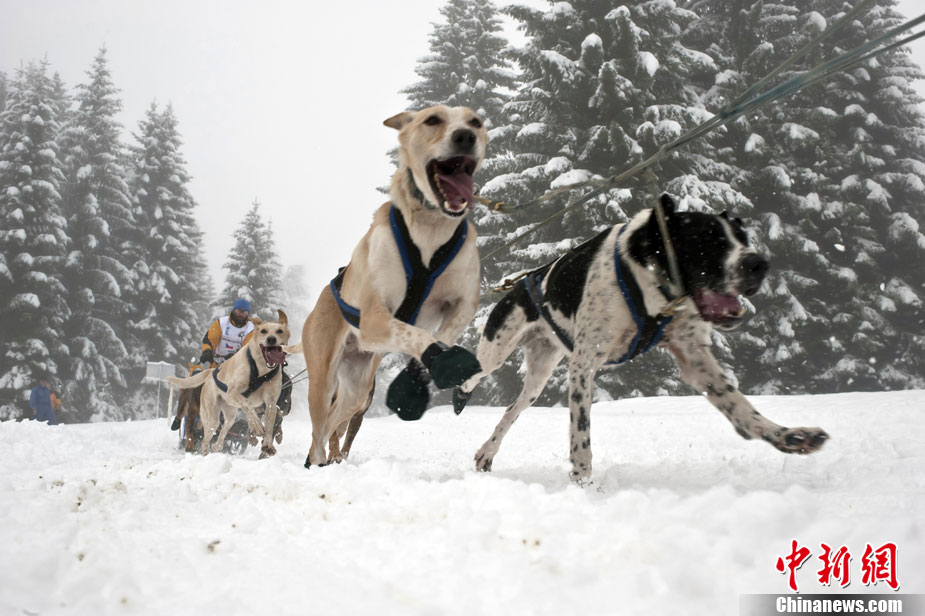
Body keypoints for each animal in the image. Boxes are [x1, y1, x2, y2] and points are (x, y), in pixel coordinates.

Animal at [168, 308, 290, 458]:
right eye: (263, 331)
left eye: (279, 331)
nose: (271, 339)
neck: (261, 370)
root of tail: (211, 372)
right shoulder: (233, 394)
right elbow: (248, 406)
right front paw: (256, 425)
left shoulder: (271, 402)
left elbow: (269, 425)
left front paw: (268, 447)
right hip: (212, 416)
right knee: (205, 437)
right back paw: (204, 453)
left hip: (230, 414)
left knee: (223, 430)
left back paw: (218, 445)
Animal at [302, 103, 490, 464]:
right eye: (433, 120)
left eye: (475, 121)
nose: (465, 136)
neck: (430, 228)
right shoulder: (377, 317)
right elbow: (417, 334)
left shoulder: (463, 304)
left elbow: (439, 338)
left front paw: (418, 382)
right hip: (322, 380)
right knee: (319, 431)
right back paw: (315, 461)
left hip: (357, 388)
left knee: (334, 423)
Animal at [454, 195, 832, 484]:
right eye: (709, 240)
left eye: (743, 238)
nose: (758, 264)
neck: (646, 270)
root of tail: (520, 282)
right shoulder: (583, 365)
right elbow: (581, 435)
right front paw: (583, 484)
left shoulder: (694, 357)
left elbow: (739, 406)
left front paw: (787, 435)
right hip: (494, 354)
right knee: (468, 378)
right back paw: (459, 397)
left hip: (539, 376)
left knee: (512, 409)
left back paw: (487, 453)